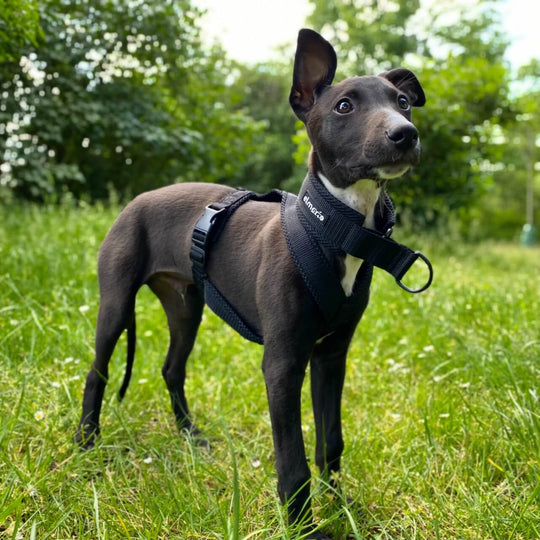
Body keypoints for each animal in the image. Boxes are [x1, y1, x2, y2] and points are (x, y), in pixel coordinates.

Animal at [76, 30, 428, 540]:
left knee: (172, 369)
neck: (332, 229)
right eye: (344, 106)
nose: (405, 134)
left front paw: (340, 506)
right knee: (98, 371)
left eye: (402, 102)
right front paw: (302, 527)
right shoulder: (282, 364)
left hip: (186, 308)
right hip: (117, 303)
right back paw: (86, 442)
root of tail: (135, 201)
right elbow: (293, 461)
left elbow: (330, 441)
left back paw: (191, 437)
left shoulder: (331, 355)